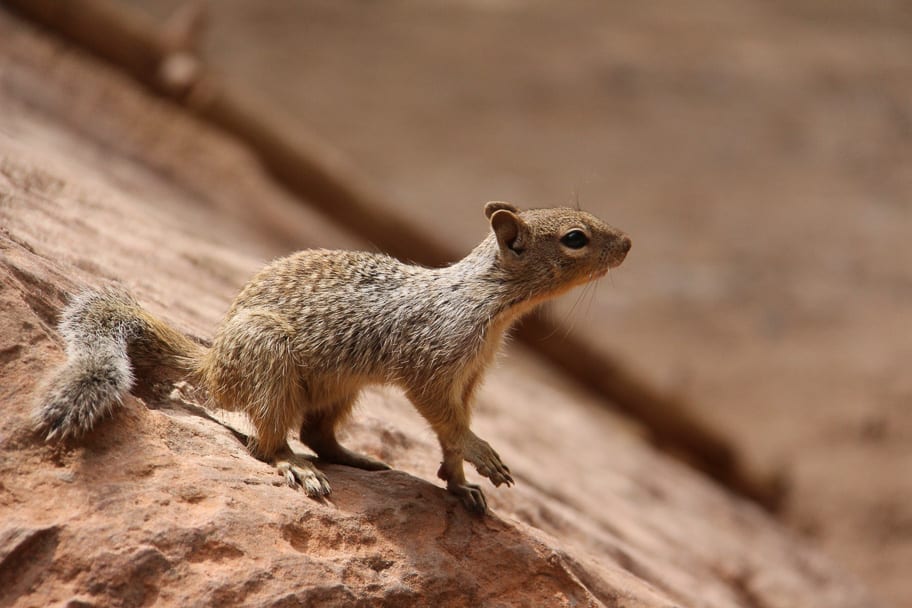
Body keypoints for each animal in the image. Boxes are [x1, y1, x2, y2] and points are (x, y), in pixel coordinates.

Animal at [37, 201, 636, 512]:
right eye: (576, 238)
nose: (629, 243)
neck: (489, 301)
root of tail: (214, 368)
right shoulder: (434, 362)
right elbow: (445, 419)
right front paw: (482, 456)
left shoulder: (469, 379)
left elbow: (452, 429)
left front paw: (458, 480)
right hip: (270, 362)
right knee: (268, 443)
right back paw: (297, 468)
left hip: (342, 389)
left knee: (317, 433)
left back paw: (356, 458)